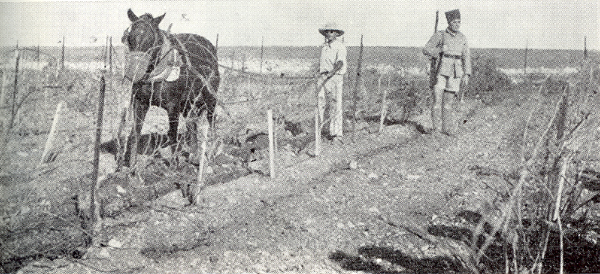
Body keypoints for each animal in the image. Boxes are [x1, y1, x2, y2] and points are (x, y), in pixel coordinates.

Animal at [119, 9, 218, 167]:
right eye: (129, 37)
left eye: (153, 39)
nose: (134, 73)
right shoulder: (139, 103)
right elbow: (135, 133)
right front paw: (131, 166)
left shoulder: (173, 107)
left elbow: (172, 135)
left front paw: (173, 165)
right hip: (188, 103)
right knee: (192, 124)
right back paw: (194, 156)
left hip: (210, 100)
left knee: (211, 120)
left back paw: (212, 151)